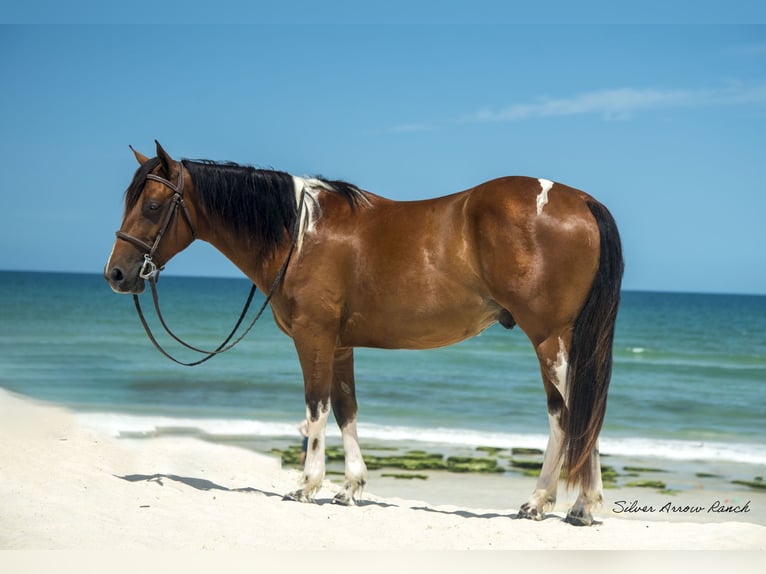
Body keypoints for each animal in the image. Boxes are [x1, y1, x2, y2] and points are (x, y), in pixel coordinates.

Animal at [106, 142, 624, 528]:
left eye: (152, 205)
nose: (117, 274)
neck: (300, 233)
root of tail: (581, 200)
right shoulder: (341, 344)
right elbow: (346, 409)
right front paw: (349, 488)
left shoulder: (313, 336)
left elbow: (315, 407)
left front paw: (307, 485)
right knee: (576, 411)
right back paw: (568, 505)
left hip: (550, 339)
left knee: (571, 412)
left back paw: (553, 503)